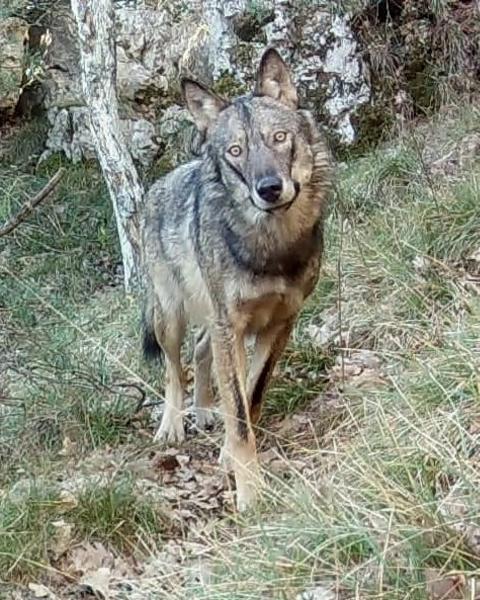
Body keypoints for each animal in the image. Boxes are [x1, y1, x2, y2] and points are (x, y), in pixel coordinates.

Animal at [141, 48, 332, 510]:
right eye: (235, 151)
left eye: (278, 138)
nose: (269, 188)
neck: (271, 247)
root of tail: (157, 185)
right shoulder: (232, 326)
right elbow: (240, 413)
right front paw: (251, 493)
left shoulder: (282, 322)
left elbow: (251, 394)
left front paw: (229, 451)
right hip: (169, 317)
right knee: (174, 368)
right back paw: (173, 423)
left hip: (212, 320)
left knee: (200, 350)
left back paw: (204, 411)